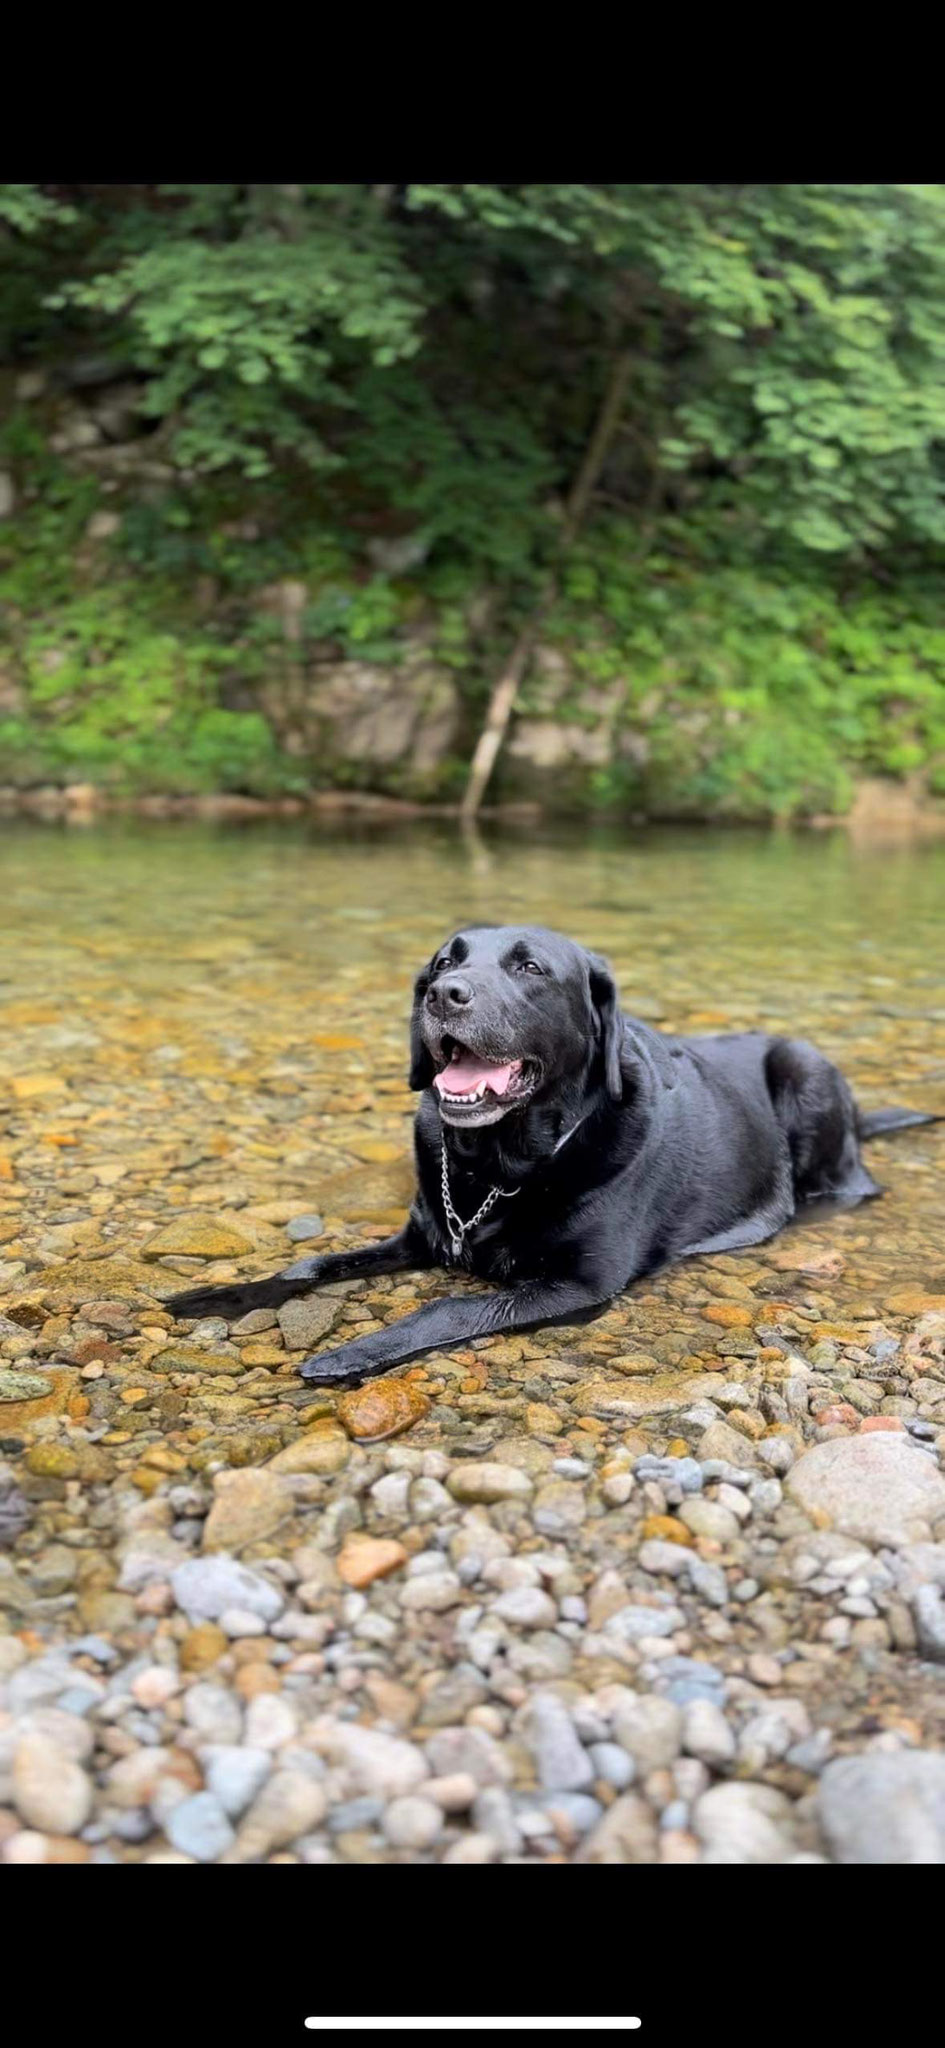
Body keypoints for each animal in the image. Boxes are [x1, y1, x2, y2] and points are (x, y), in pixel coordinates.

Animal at [168, 929, 934, 1392]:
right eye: (444, 962)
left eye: (529, 967)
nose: (441, 995)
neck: (491, 1168)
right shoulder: (420, 1234)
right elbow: (310, 1266)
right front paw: (211, 1297)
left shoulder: (576, 1284)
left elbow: (445, 1308)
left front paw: (349, 1354)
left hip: (805, 1074)